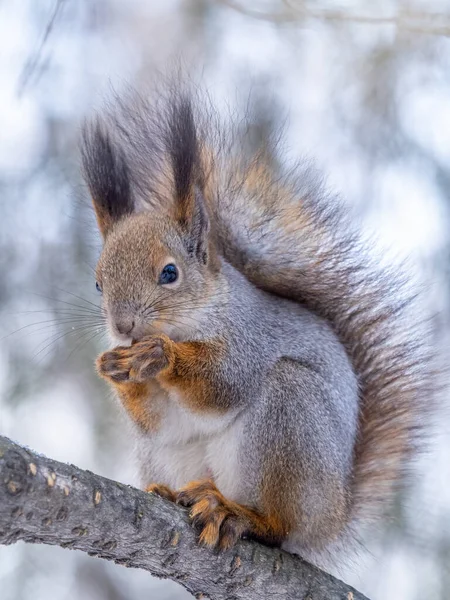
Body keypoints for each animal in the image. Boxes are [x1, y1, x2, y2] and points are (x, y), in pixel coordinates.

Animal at [81, 86, 436, 564]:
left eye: (170, 273)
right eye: (99, 283)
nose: (123, 327)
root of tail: (331, 519)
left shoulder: (248, 339)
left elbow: (222, 383)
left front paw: (161, 355)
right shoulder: (156, 421)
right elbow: (155, 420)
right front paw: (112, 368)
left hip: (290, 420)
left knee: (279, 525)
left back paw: (237, 513)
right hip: (166, 456)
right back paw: (175, 492)